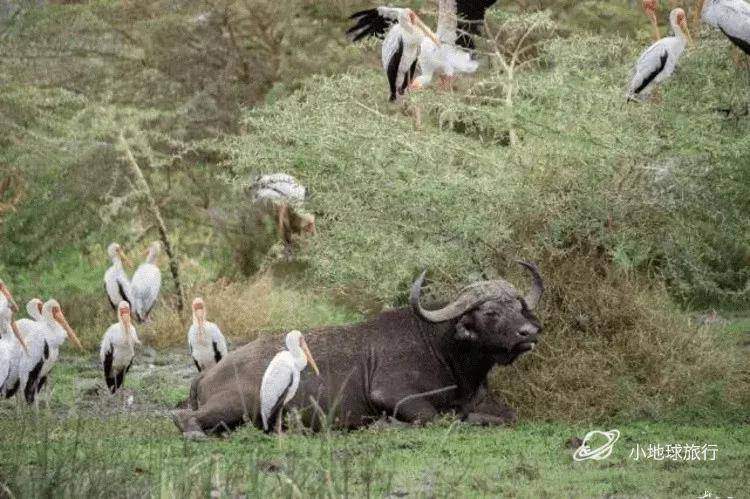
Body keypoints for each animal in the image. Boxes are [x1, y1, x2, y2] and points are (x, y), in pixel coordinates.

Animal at [173, 262, 544, 438]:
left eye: (518, 306)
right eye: (490, 312)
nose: (530, 333)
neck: (444, 351)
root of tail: (207, 374)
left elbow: (505, 416)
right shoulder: (394, 396)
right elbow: (435, 417)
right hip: (238, 404)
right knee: (184, 418)